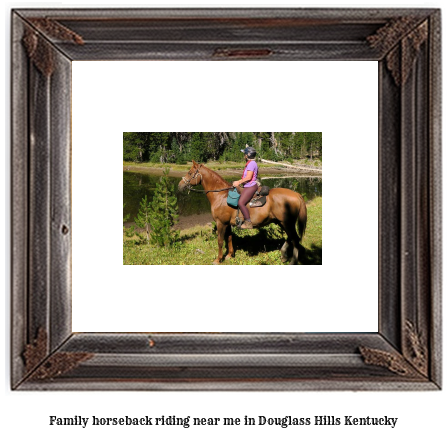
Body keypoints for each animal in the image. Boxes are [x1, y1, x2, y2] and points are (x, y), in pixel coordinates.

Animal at [178, 160, 308, 264]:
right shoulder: (228, 224)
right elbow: (229, 238)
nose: (179, 185)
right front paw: (230, 255)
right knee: (291, 238)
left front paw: (218, 259)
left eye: (189, 173)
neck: (220, 196)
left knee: (295, 239)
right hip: (282, 222)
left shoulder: (221, 223)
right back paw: (284, 255)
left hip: (287, 223)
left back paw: (292, 260)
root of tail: (296, 194)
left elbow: (220, 241)